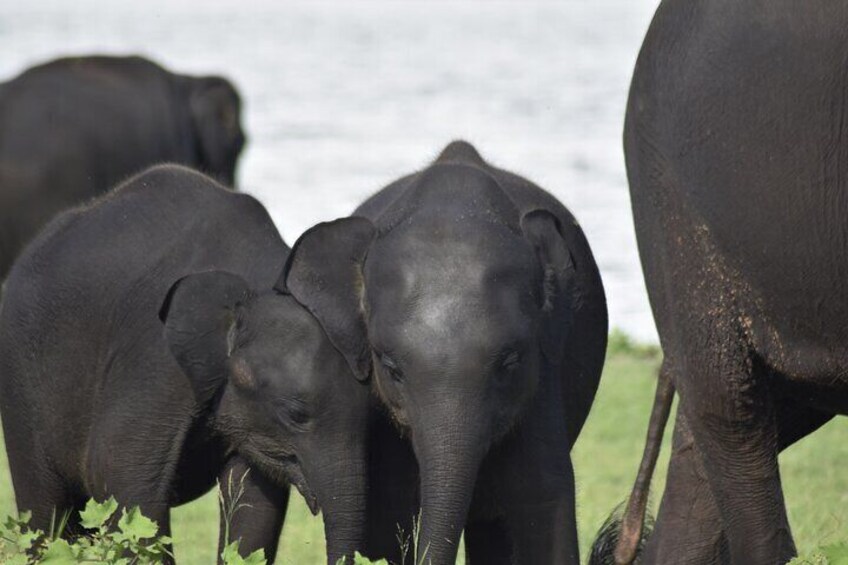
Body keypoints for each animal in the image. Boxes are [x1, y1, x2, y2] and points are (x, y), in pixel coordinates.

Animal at [0, 165, 372, 564]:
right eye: (295, 415)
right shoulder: (155, 359)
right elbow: (119, 474)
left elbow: (254, 503)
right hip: (19, 381)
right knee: (46, 513)